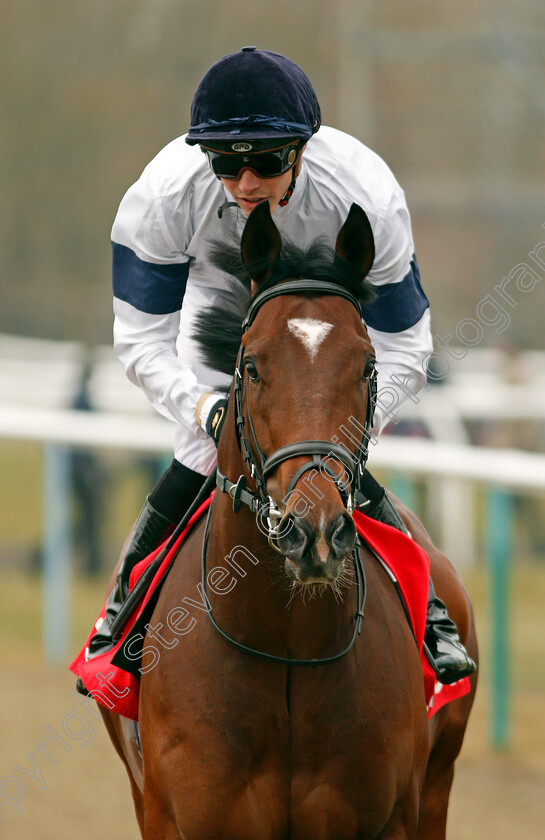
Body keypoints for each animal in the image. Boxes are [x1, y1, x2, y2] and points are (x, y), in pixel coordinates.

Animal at [100, 205, 474, 840]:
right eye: (251, 366)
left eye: (367, 366)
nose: (315, 532)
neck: (287, 651)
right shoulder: (171, 815)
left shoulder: (394, 817)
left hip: (440, 784)